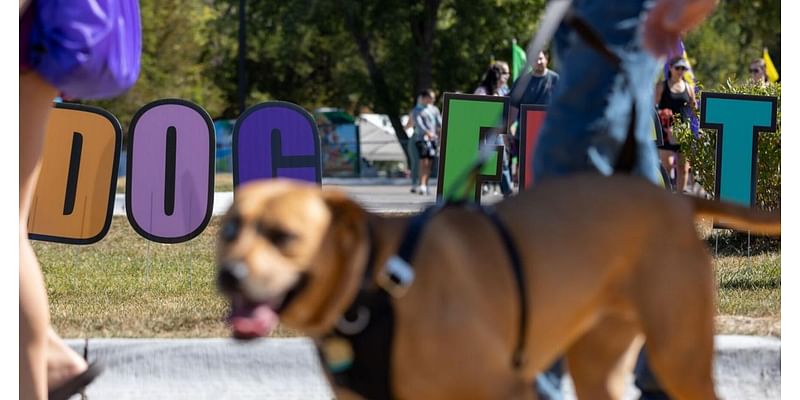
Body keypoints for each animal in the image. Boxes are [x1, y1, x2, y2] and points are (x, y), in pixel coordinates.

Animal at [216, 175, 780, 400]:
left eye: (283, 236)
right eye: (229, 230)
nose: (230, 275)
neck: (374, 286)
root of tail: (676, 200)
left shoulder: (506, 388)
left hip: (678, 354)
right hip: (601, 364)